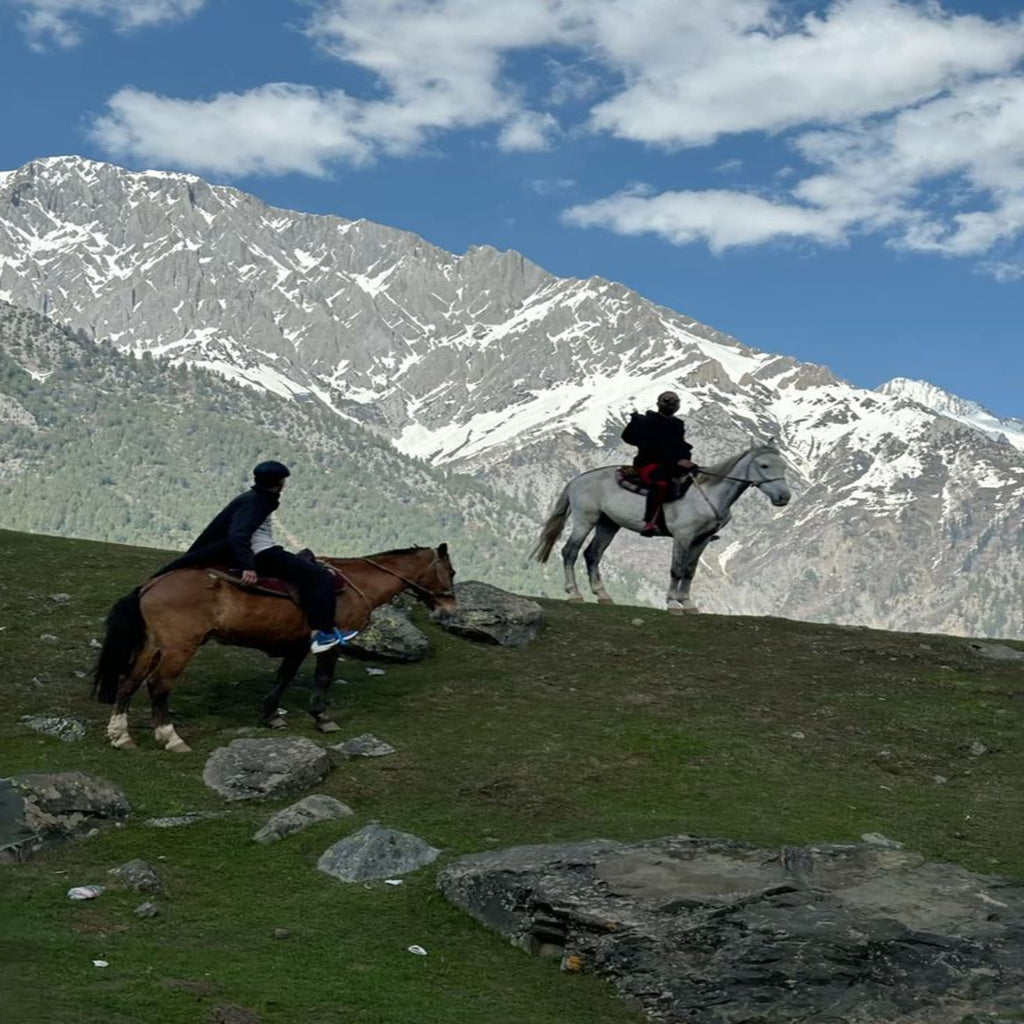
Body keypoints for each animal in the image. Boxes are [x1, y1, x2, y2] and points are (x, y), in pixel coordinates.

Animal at [92, 544, 457, 752]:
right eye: (451, 571)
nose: (449, 610)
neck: (357, 585)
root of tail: (150, 585)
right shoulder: (332, 642)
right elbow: (322, 679)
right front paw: (322, 718)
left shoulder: (297, 644)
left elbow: (284, 677)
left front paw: (270, 715)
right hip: (178, 648)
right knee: (158, 686)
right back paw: (171, 738)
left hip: (151, 645)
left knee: (128, 682)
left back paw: (120, 736)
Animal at [531, 444, 791, 614]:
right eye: (764, 465)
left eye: (784, 467)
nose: (783, 497)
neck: (708, 494)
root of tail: (577, 480)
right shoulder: (683, 536)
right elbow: (676, 568)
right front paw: (673, 603)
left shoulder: (702, 539)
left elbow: (689, 570)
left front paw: (688, 604)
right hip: (586, 519)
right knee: (570, 551)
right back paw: (574, 594)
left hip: (608, 524)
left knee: (592, 554)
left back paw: (603, 595)